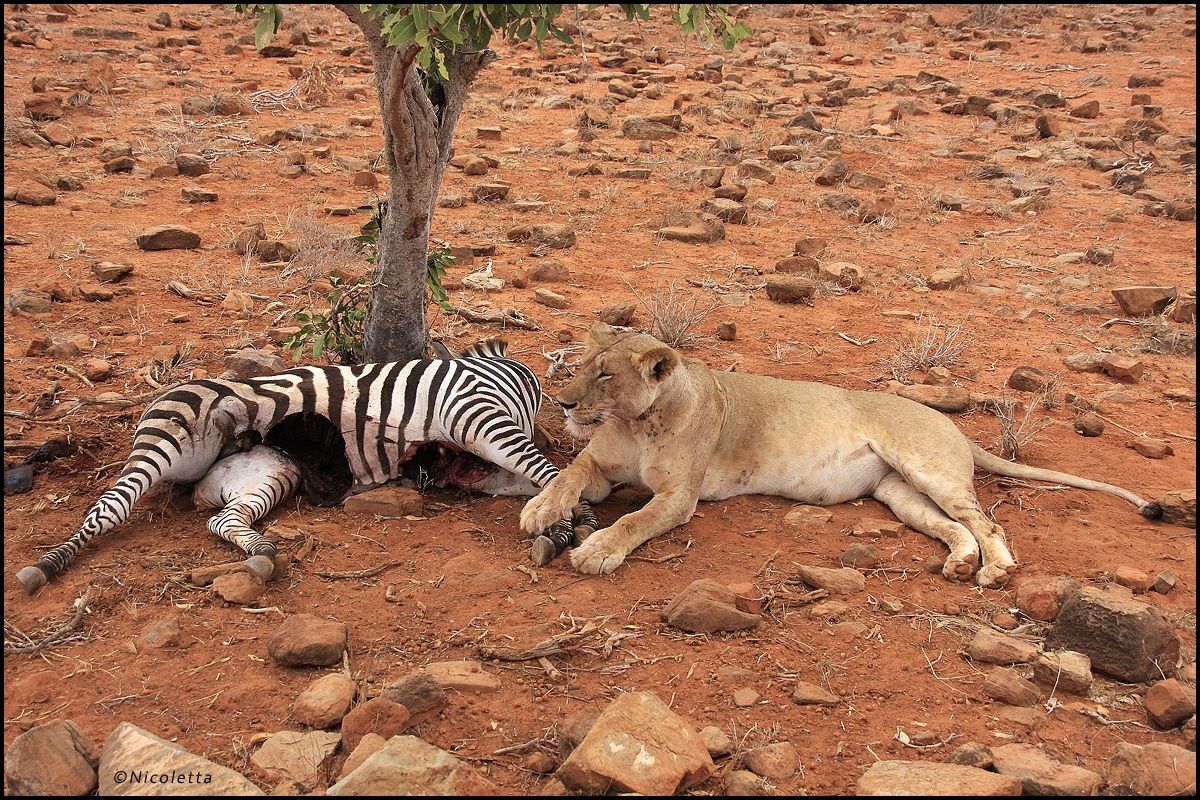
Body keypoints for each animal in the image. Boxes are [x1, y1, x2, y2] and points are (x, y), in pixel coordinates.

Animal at [520, 324, 1163, 588]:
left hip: (924, 465)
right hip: (899, 493)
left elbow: (636, 518)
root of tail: (951, 425)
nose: (563, 400)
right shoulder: (603, 471)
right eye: (582, 364)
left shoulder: (680, 498)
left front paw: (597, 548)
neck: (640, 423)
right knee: (955, 528)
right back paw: (960, 565)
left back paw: (995, 570)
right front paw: (540, 509)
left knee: (988, 523)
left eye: (605, 375)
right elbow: (572, 472)